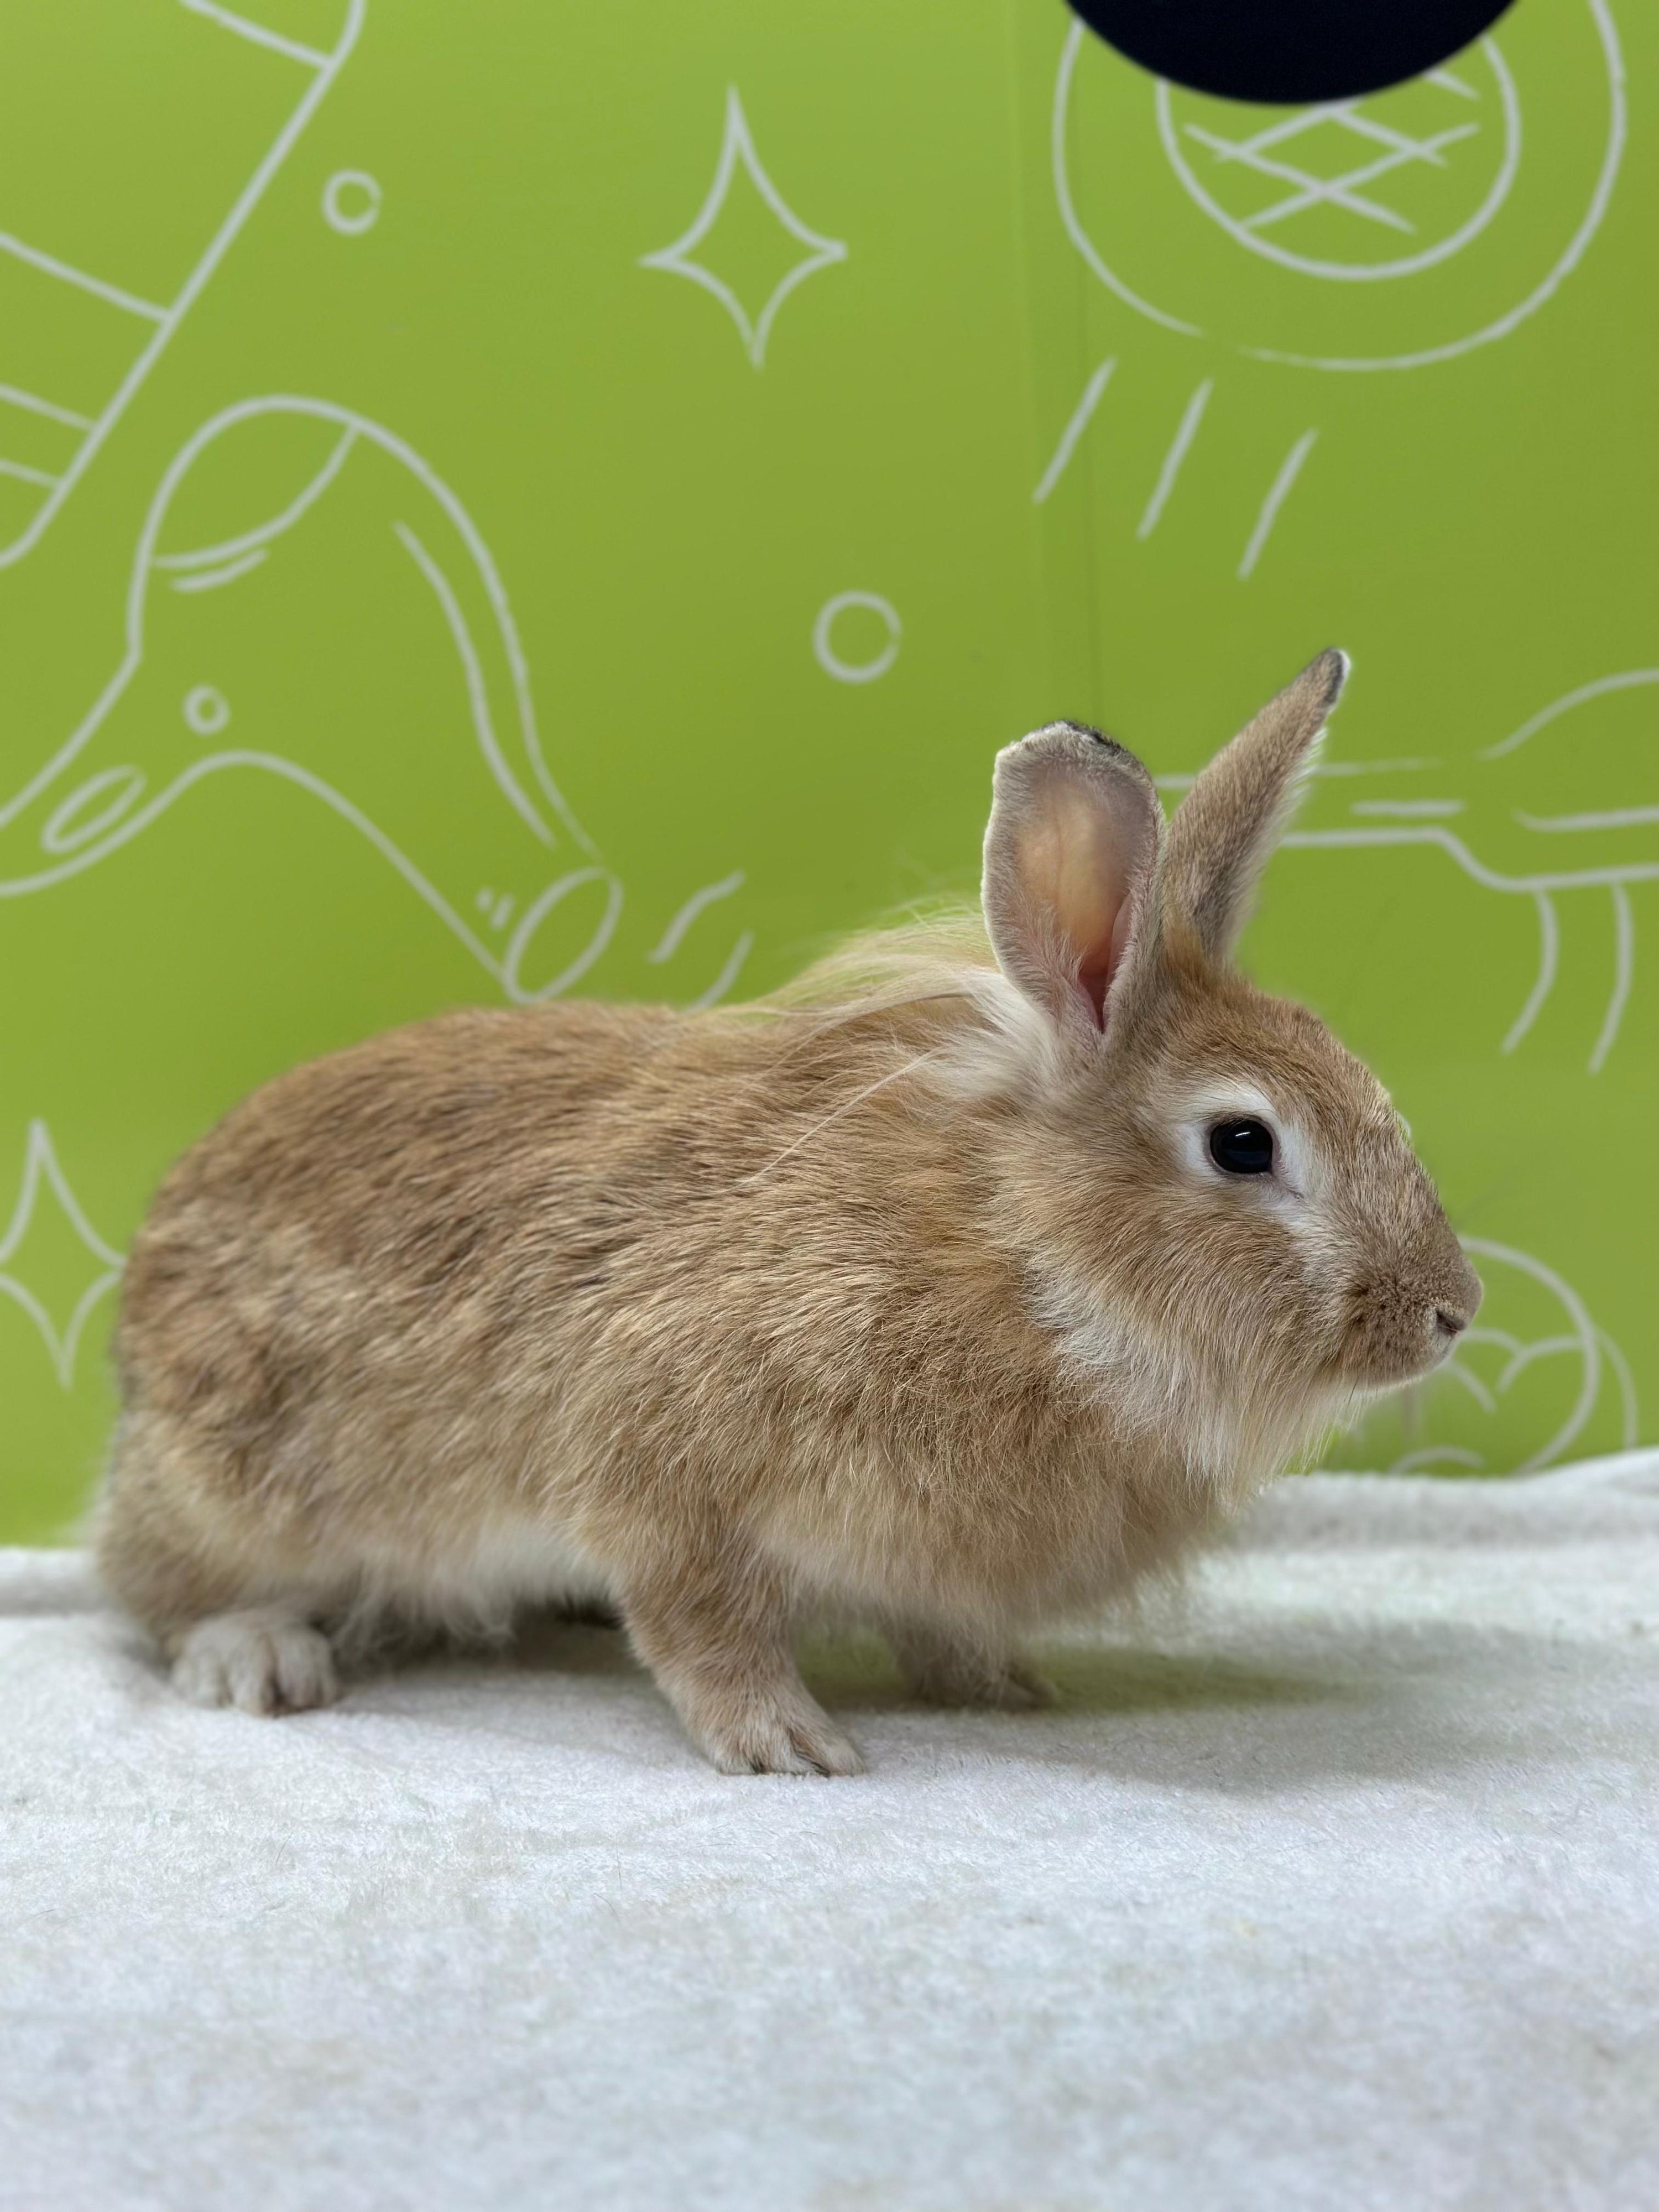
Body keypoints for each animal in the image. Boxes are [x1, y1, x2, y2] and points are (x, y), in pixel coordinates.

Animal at [94, 647, 1480, 1775]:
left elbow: (934, 1630)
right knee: (151, 1588)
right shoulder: (662, 1472)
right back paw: (259, 1656)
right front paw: (787, 1741)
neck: (1021, 1261)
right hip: (238, 1486)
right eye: (1243, 1143)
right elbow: (701, 1625)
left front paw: (1004, 1685)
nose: (1451, 1311)